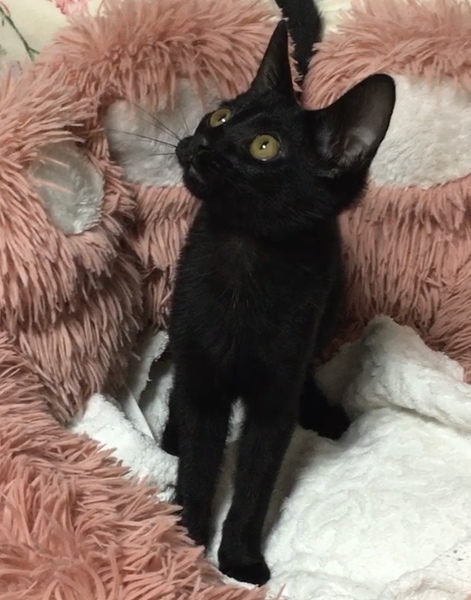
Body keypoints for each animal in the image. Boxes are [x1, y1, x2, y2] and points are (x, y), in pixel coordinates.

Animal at [161, 1, 396, 586]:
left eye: (264, 148)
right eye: (221, 116)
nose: (201, 145)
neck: (245, 257)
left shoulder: (273, 398)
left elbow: (256, 482)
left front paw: (240, 558)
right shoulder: (205, 380)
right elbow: (198, 465)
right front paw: (186, 544)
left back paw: (323, 412)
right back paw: (170, 432)